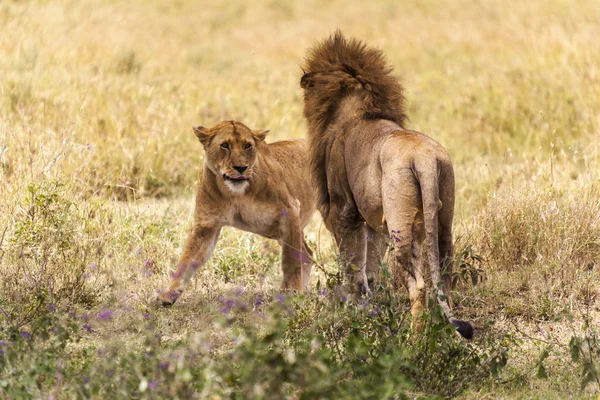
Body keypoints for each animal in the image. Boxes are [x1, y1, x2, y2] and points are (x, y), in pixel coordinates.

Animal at [158, 120, 318, 304]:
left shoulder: (290, 210)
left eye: (247, 145)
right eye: (225, 145)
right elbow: (187, 259)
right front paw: (168, 294)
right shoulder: (206, 225)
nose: (241, 168)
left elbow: (291, 259)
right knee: (307, 253)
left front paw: (292, 293)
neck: (236, 193)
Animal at [300, 30, 474, 338]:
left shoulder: (344, 212)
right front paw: (373, 308)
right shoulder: (372, 220)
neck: (355, 111)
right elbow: (370, 270)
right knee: (444, 277)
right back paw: (444, 333)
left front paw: (354, 311)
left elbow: (352, 268)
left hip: (399, 226)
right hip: (443, 218)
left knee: (419, 286)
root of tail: (425, 157)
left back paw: (414, 341)